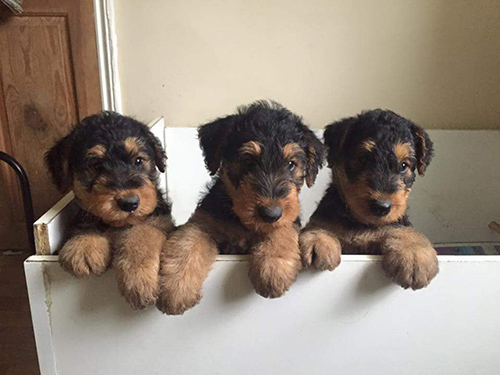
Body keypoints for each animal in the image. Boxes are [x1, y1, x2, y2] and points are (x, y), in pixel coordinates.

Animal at [45, 111, 174, 308]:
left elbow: (142, 233)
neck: (118, 226)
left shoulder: (160, 222)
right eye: (96, 165)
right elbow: (86, 222)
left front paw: (139, 280)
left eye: (138, 160)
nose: (129, 203)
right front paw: (84, 247)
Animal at [158, 101, 326, 316]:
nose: (271, 214)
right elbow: (187, 243)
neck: (242, 223)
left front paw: (273, 269)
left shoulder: (290, 218)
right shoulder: (202, 223)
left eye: (291, 164)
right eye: (248, 161)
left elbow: (282, 229)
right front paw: (176, 290)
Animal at [300, 109, 438, 290]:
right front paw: (318, 240)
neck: (361, 224)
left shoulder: (396, 222)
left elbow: (405, 229)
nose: (382, 206)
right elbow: (320, 225)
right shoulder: (325, 218)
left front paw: (414, 256)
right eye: (363, 159)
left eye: (403, 166)